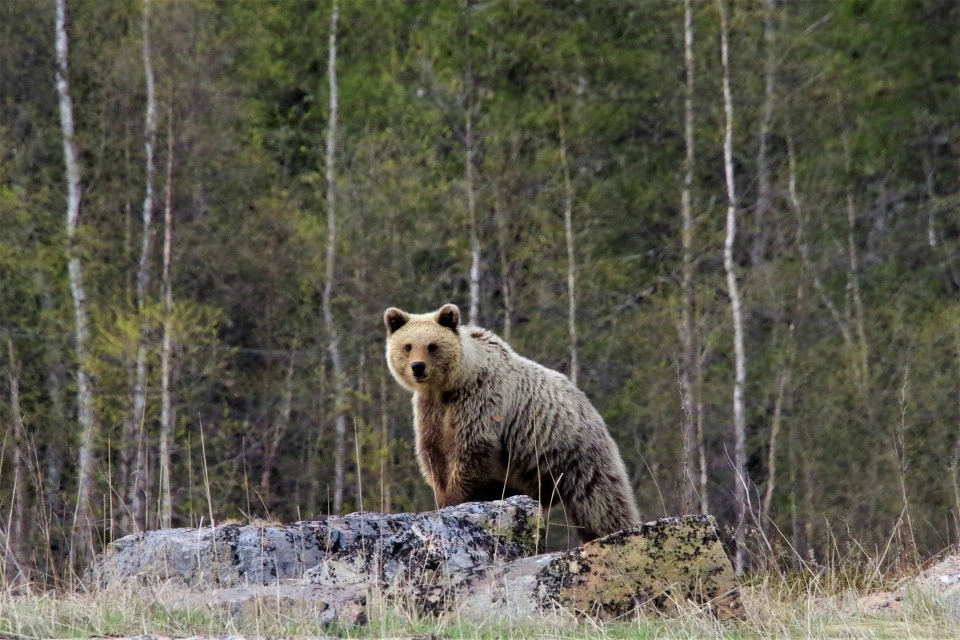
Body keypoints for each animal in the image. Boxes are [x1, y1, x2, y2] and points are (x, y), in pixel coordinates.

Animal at [382, 304, 636, 540]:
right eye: (408, 346)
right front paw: (442, 496)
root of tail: (589, 405)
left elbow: (470, 450)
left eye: (432, 345)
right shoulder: (431, 412)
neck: (450, 387)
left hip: (575, 456)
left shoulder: (479, 402)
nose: (418, 367)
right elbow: (433, 454)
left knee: (600, 503)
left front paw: (454, 499)